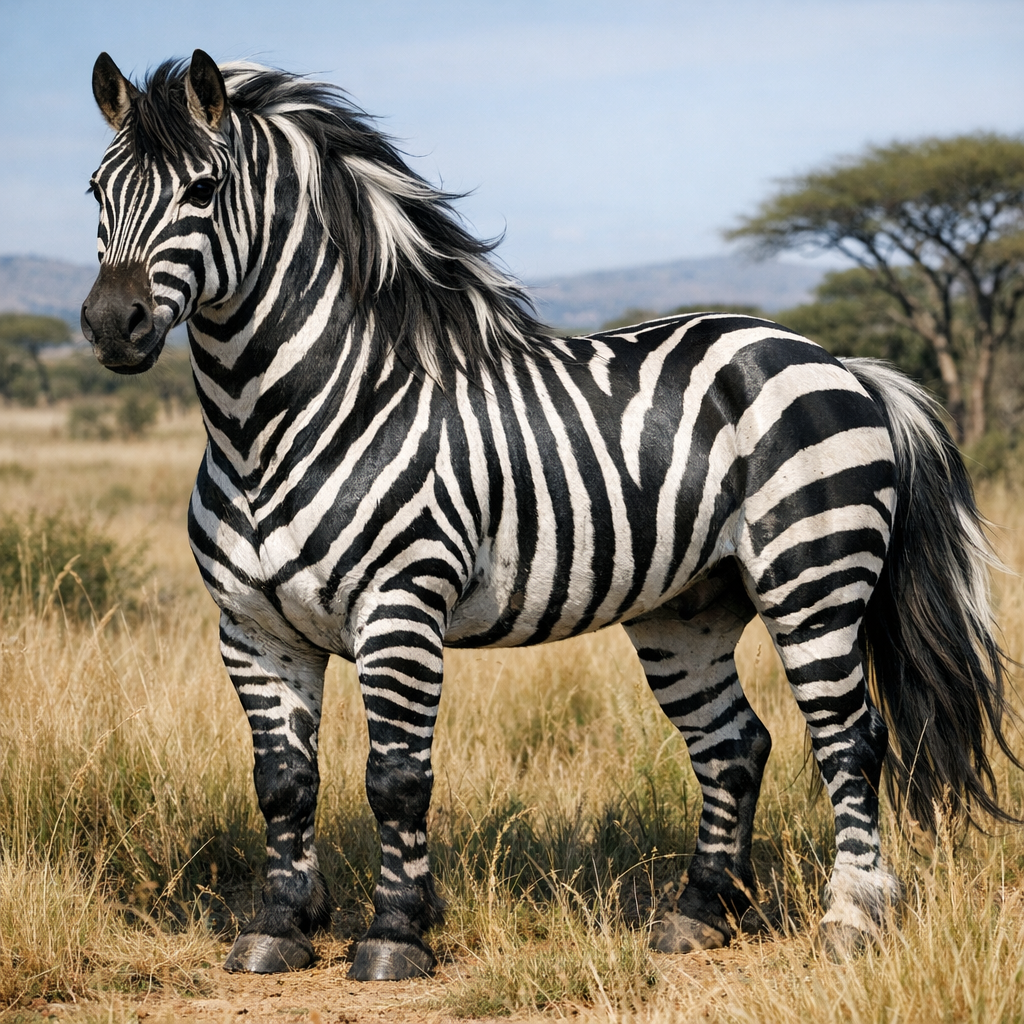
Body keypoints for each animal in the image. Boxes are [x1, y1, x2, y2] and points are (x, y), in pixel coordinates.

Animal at [81, 49, 1018, 981]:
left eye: (202, 189)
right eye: (95, 190)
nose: (110, 325)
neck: (270, 425)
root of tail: (836, 359)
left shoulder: (400, 610)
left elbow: (396, 780)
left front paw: (395, 934)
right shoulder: (251, 629)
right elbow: (282, 782)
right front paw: (278, 925)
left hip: (813, 579)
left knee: (849, 739)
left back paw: (853, 918)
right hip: (687, 611)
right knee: (734, 746)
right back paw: (699, 914)